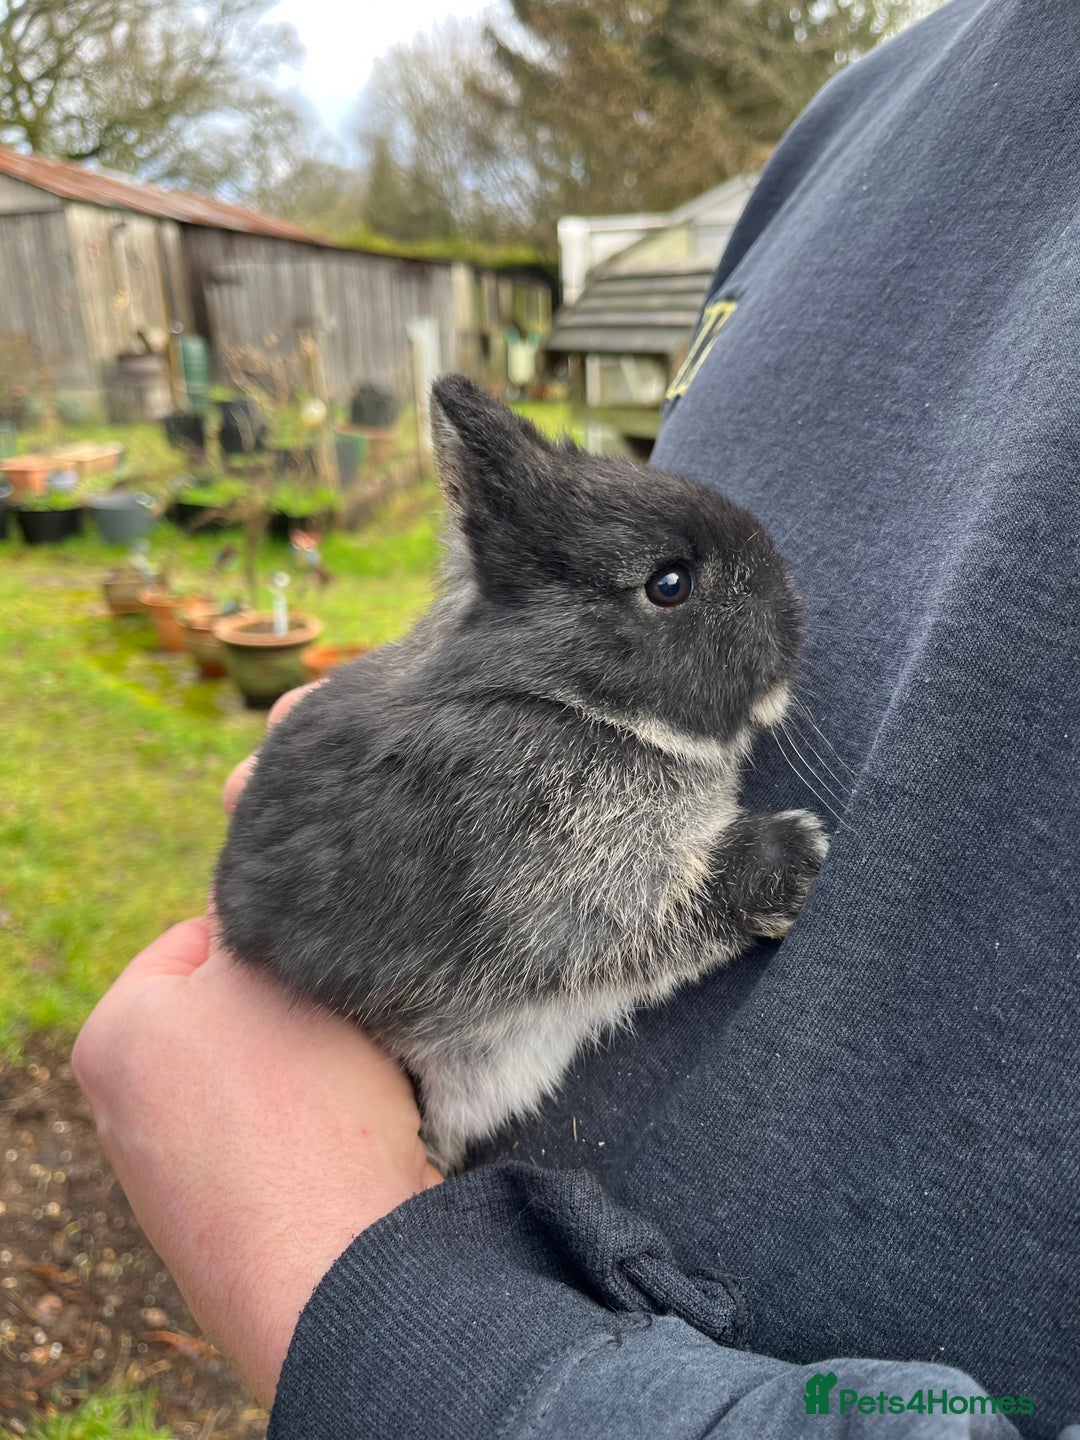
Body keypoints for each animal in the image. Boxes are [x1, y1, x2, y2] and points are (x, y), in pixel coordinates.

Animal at [213, 375, 827, 1173]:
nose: (794, 618)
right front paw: (801, 853)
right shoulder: (569, 895)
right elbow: (676, 909)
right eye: (669, 584)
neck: (562, 698)